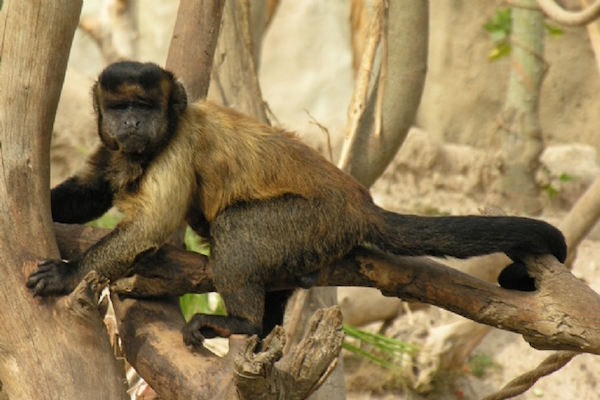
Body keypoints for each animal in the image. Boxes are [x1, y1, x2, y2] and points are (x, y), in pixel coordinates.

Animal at [24, 61, 568, 348]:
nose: (132, 124)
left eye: (144, 107)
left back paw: (244, 323)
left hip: (315, 222)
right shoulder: (116, 148)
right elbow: (91, 191)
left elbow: (150, 229)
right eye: (119, 108)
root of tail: (359, 202)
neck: (152, 143)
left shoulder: (178, 142)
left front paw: (70, 274)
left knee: (237, 230)